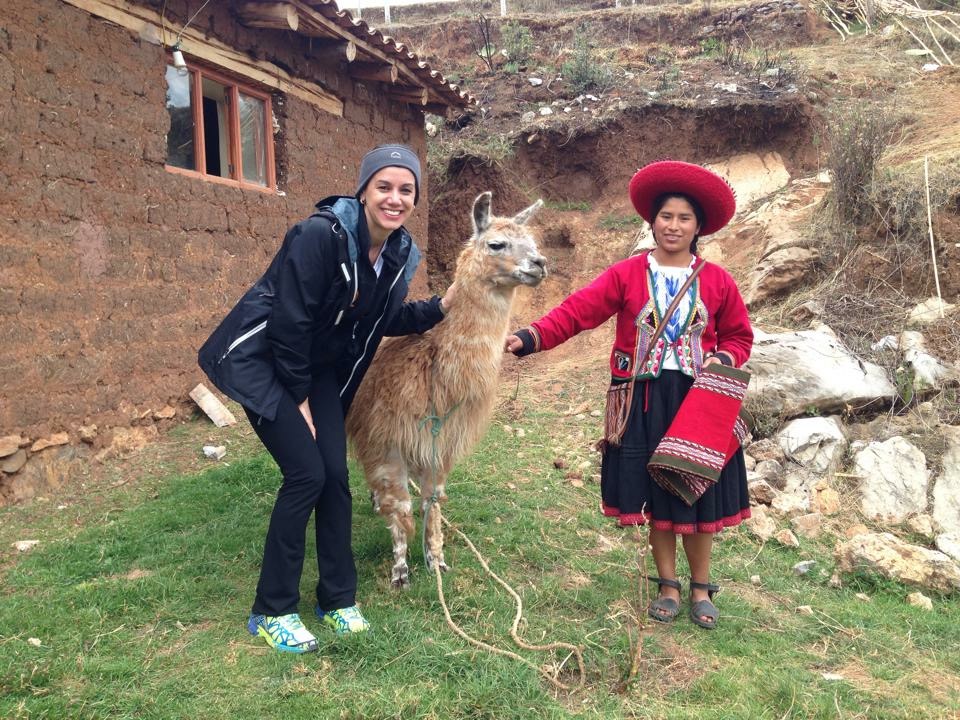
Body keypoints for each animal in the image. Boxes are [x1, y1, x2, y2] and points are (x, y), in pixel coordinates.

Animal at [346, 192, 546, 588]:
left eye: (533, 242)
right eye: (496, 244)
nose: (540, 264)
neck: (435, 369)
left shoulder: (439, 444)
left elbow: (432, 501)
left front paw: (435, 559)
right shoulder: (389, 438)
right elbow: (402, 506)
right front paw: (400, 571)